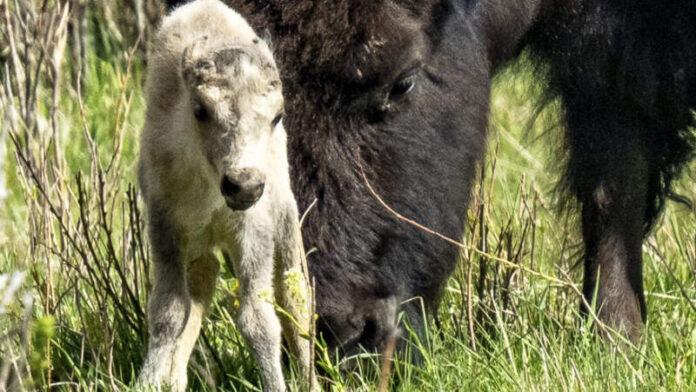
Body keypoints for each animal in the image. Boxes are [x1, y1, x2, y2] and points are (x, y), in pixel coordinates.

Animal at [139, 1, 312, 390]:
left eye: (277, 115)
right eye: (201, 110)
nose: (244, 185)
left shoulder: (253, 232)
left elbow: (259, 320)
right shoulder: (165, 226)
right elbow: (170, 311)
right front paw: (148, 381)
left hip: (286, 222)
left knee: (296, 300)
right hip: (199, 245)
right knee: (202, 284)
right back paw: (175, 378)